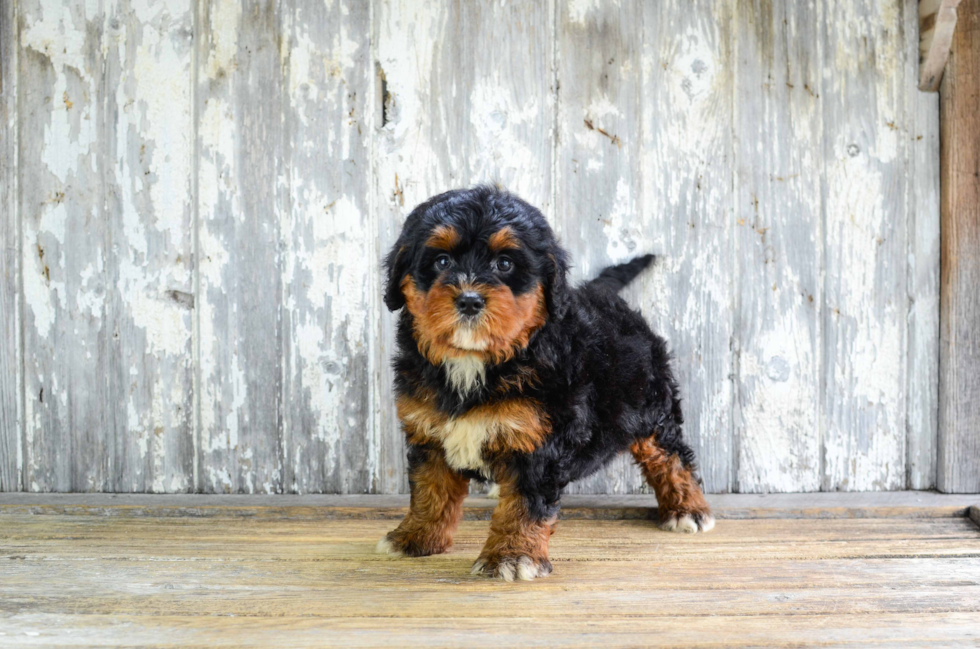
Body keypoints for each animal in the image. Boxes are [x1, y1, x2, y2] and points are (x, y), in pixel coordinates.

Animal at [378, 185, 712, 580]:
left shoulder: (538, 442)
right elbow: (431, 490)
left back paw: (687, 508)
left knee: (670, 454)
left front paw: (511, 556)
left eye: (505, 264)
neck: (475, 361)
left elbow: (525, 503)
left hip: (652, 405)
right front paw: (416, 537)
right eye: (442, 262)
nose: (470, 300)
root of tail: (603, 294)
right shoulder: (430, 433)